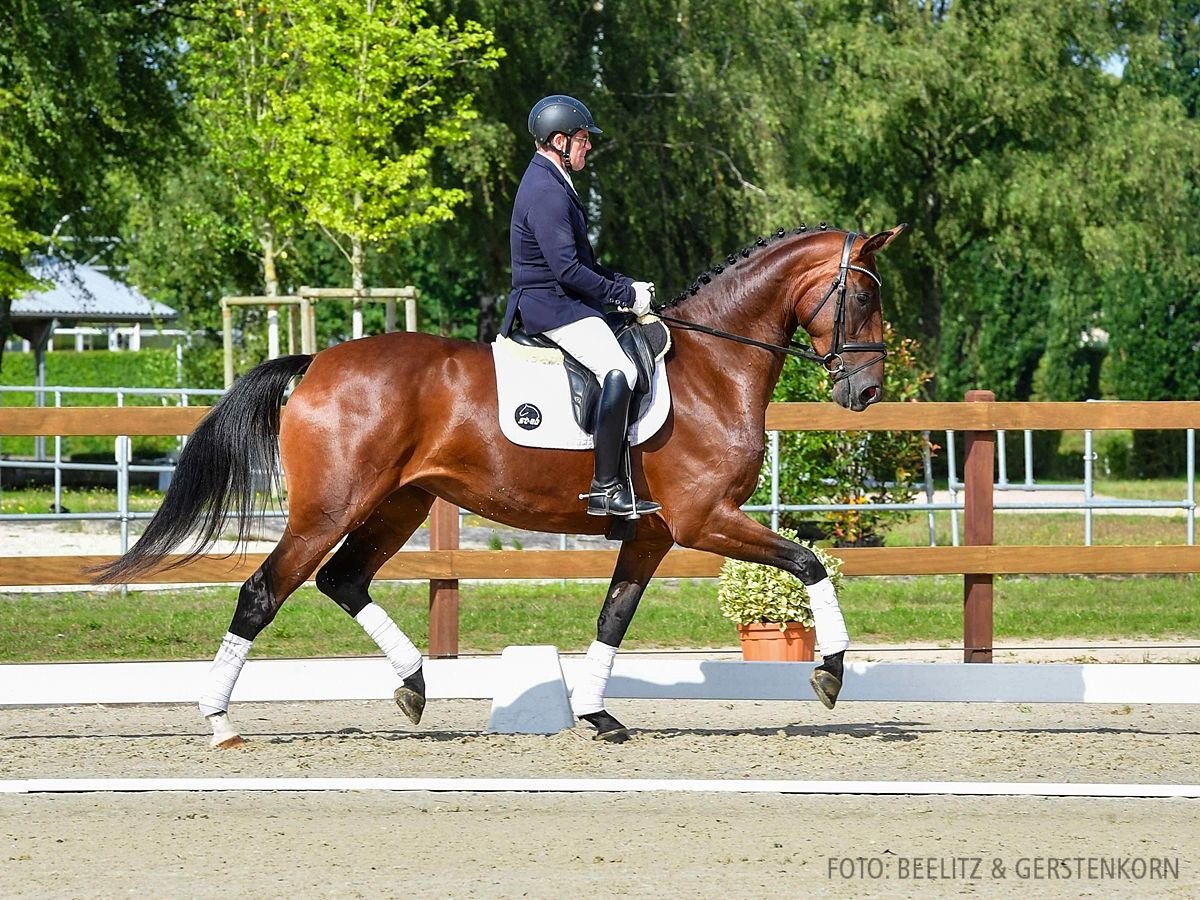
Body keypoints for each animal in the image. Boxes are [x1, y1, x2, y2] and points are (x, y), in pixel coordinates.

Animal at [91, 224, 902, 748]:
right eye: (863, 299)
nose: (864, 392)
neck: (713, 366)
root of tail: (317, 362)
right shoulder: (705, 518)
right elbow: (809, 562)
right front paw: (831, 672)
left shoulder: (652, 531)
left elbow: (613, 618)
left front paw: (596, 716)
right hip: (330, 507)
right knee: (265, 591)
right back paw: (220, 721)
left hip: (401, 502)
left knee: (343, 580)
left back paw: (415, 685)